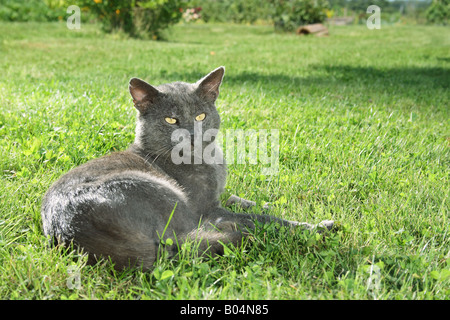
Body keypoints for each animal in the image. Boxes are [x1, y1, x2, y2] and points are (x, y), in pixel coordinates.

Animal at [40, 67, 332, 270]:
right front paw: (314, 225)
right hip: (159, 192)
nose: (191, 135)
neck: (207, 159)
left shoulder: (218, 197)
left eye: (201, 116)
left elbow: (239, 199)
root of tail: (71, 234)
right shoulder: (208, 210)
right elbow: (264, 219)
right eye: (171, 120)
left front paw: (266, 202)